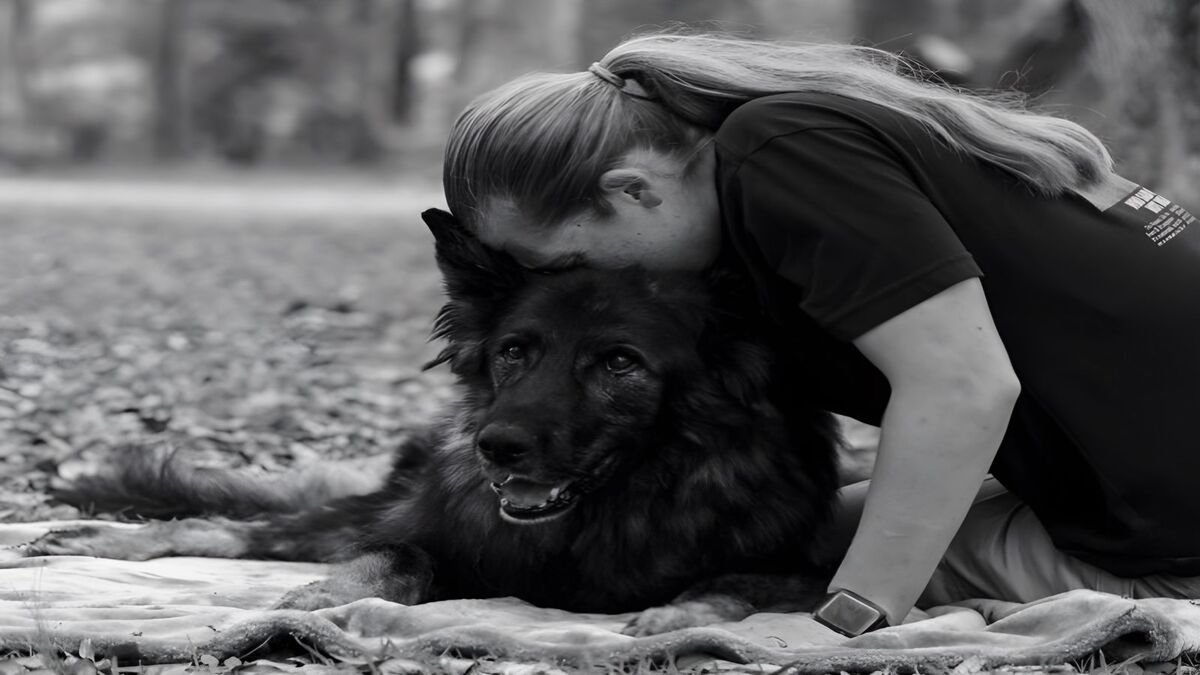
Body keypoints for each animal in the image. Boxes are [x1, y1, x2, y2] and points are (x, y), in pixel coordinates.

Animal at [28, 208, 840, 629]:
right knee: (236, 529)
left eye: (619, 362)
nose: (495, 446)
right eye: (514, 350)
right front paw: (321, 599)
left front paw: (677, 616)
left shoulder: (811, 569)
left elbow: (738, 583)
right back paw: (104, 536)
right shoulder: (440, 540)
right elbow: (397, 558)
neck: (605, 516)